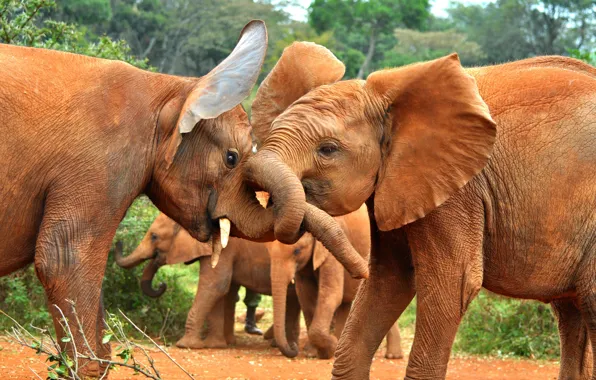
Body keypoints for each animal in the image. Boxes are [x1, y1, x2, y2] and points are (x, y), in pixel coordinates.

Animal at [115, 211, 302, 350]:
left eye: (154, 237)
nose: (162, 284)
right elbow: (223, 291)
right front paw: (218, 345)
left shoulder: (225, 247)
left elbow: (215, 285)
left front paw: (186, 345)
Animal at [242, 40, 596, 378]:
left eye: (327, 150)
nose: (356, 269)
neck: (386, 98)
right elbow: (388, 278)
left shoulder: (457, 190)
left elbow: (453, 283)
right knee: (571, 314)